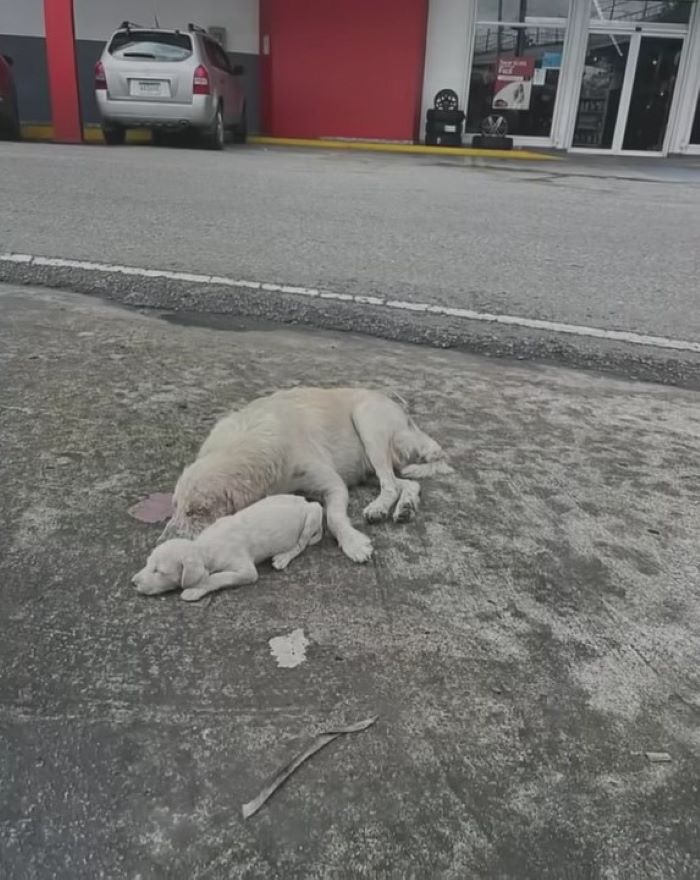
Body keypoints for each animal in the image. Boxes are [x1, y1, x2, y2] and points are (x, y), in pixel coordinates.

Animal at [133, 492, 324, 600]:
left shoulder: (247, 571)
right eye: (148, 564)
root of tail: (306, 502)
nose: (133, 582)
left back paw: (283, 557)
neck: (204, 548)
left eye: (159, 571)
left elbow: (218, 577)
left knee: (300, 545)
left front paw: (195, 589)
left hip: (313, 515)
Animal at [165, 384, 452, 564]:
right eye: (176, 507)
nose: (164, 541)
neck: (251, 440)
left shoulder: (334, 484)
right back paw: (404, 508)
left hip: (368, 421)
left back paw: (380, 508)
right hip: (371, 464)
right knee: (406, 483)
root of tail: (409, 419)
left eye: (196, 512)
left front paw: (354, 544)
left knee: (390, 484)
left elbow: (334, 518)